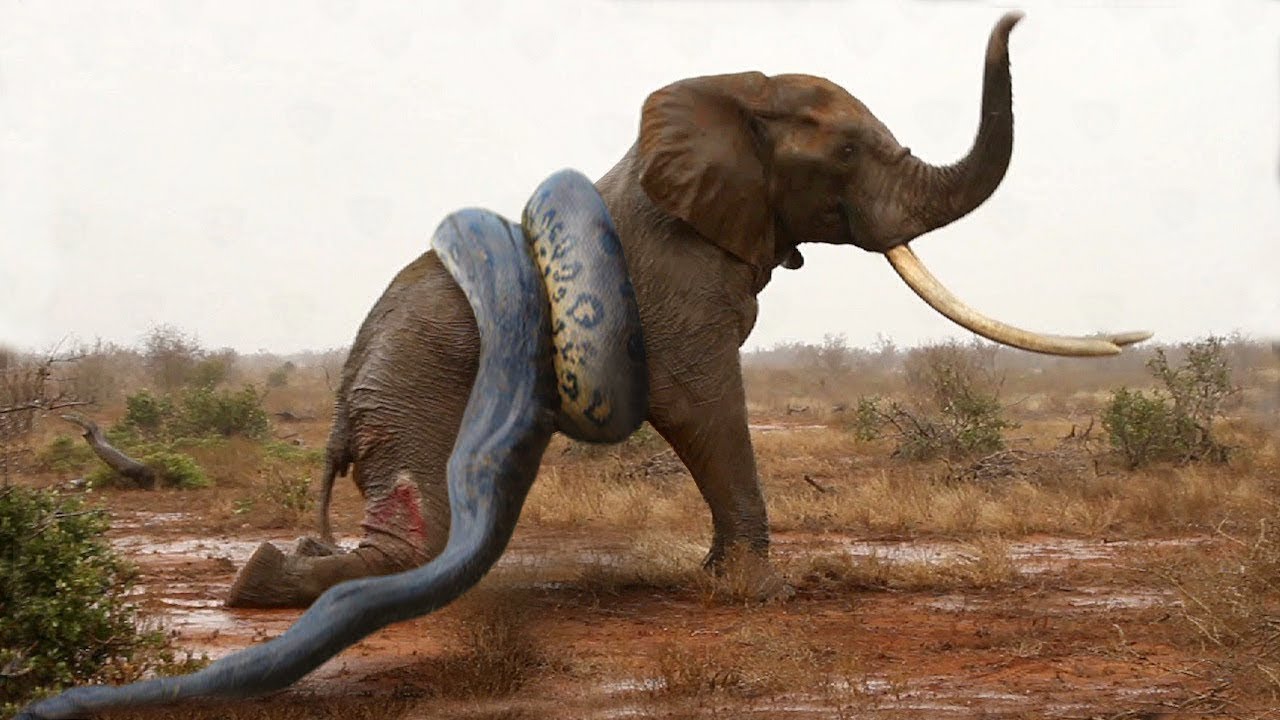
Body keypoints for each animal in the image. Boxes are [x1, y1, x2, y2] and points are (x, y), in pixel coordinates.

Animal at [224, 10, 1147, 610]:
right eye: (848, 151)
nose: (1017, 18)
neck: (733, 98)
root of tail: (343, 400)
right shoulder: (677, 276)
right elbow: (697, 401)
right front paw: (758, 594)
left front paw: (718, 581)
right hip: (418, 381)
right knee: (423, 533)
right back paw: (265, 580)